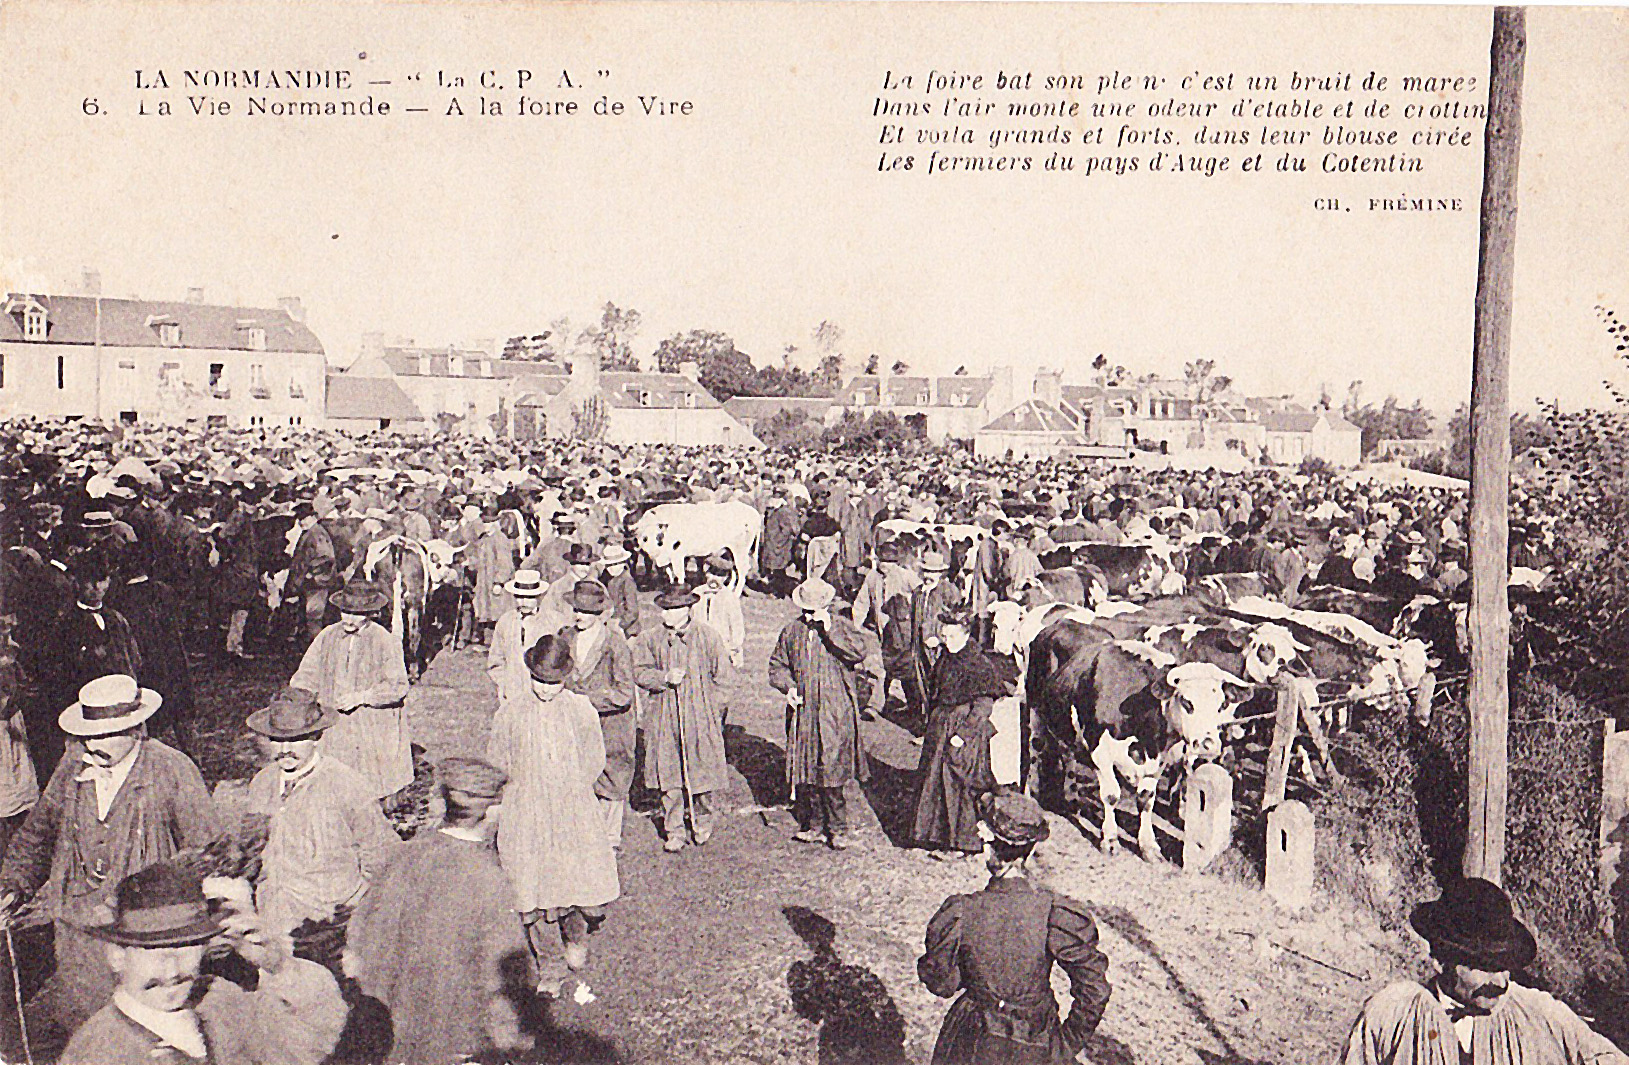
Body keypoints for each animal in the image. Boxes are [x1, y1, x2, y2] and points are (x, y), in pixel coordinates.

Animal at [632, 501, 765, 592]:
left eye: (658, 536)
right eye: (644, 538)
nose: (652, 552)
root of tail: (753, 513)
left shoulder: (677, 555)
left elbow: (679, 573)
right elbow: (670, 573)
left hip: (740, 549)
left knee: (742, 569)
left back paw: (736, 593)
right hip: (730, 552)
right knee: (734, 568)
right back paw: (729, 589)